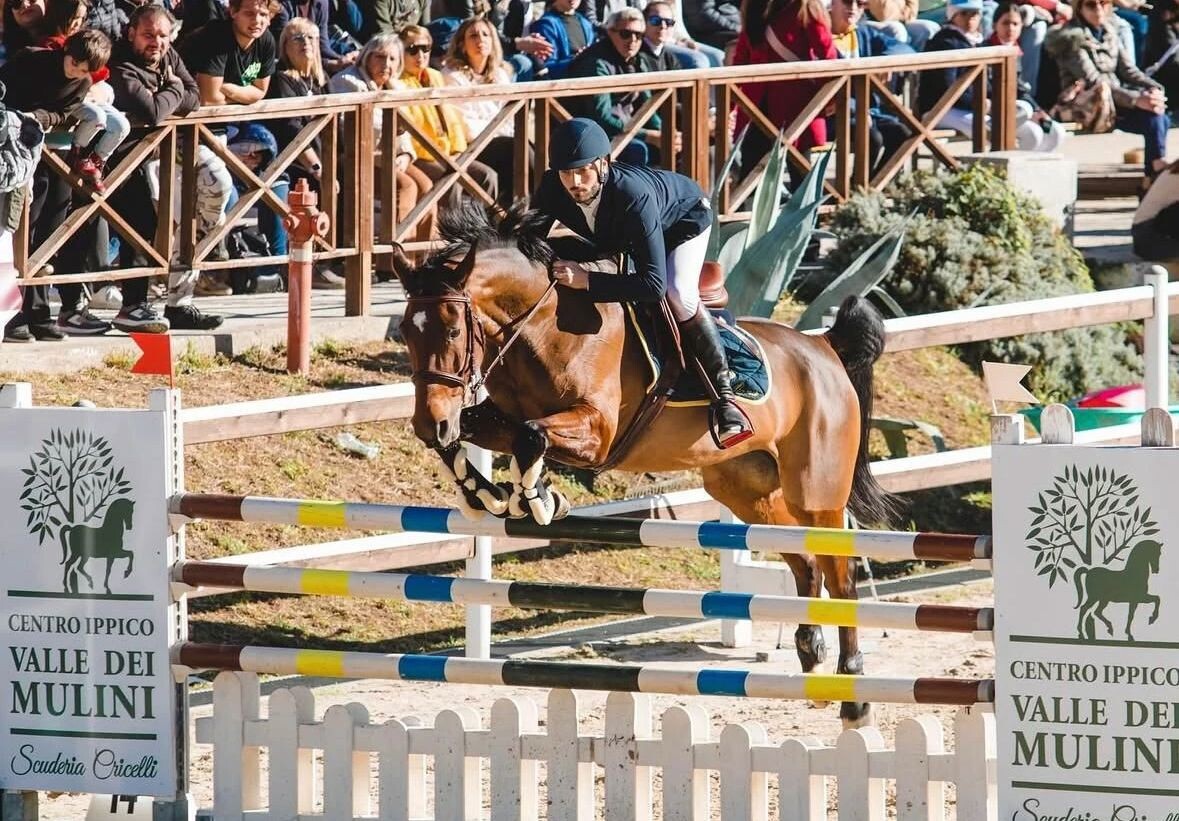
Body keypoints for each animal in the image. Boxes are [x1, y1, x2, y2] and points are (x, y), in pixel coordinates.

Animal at [390, 204, 901, 727]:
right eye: (406, 331)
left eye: (453, 330)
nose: (429, 423)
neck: (545, 327)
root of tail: (824, 348)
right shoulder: (494, 418)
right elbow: (479, 435)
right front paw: (488, 494)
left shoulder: (597, 433)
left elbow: (532, 434)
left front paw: (538, 500)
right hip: (747, 486)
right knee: (805, 560)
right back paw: (813, 662)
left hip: (815, 491)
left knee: (840, 573)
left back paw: (853, 696)